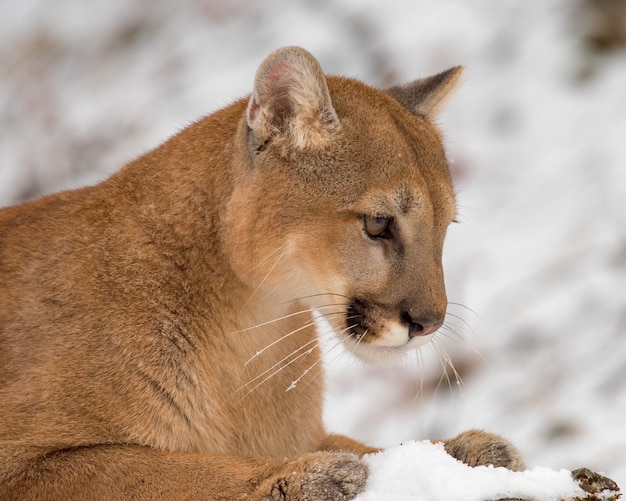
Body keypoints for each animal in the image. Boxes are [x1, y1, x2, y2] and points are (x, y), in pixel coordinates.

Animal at [0, 46, 520, 496]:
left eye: (446, 226)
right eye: (378, 224)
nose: (429, 323)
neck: (247, 324)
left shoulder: (305, 429)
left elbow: (370, 447)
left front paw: (464, 452)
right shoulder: (24, 463)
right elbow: (165, 471)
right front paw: (304, 477)